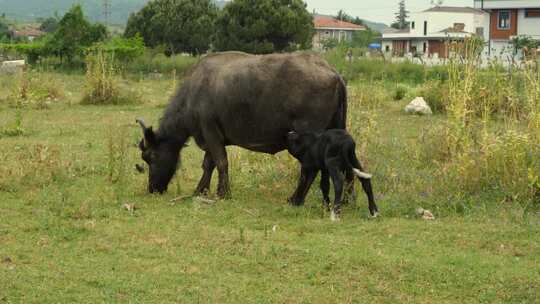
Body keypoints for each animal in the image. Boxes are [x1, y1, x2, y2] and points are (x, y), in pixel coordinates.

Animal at [137, 51, 352, 204]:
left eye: (151, 157)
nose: (152, 188)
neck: (193, 92)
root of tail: (333, 73)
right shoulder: (211, 136)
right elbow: (208, 164)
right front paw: (201, 190)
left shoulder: (210, 132)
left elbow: (221, 162)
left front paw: (223, 193)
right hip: (337, 130)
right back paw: (347, 199)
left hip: (308, 137)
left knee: (310, 167)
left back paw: (296, 199)